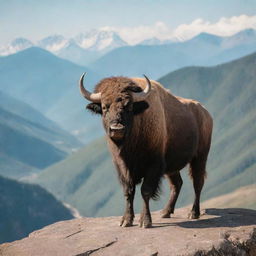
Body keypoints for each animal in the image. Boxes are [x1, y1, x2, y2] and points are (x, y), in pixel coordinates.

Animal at [79, 73, 213, 227]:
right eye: (104, 107)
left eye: (129, 106)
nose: (117, 129)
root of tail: (205, 113)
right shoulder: (122, 167)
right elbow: (129, 191)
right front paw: (126, 220)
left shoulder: (154, 164)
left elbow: (146, 191)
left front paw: (145, 221)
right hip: (172, 167)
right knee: (177, 184)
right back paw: (165, 212)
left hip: (200, 157)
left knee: (197, 182)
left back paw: (193, 213)